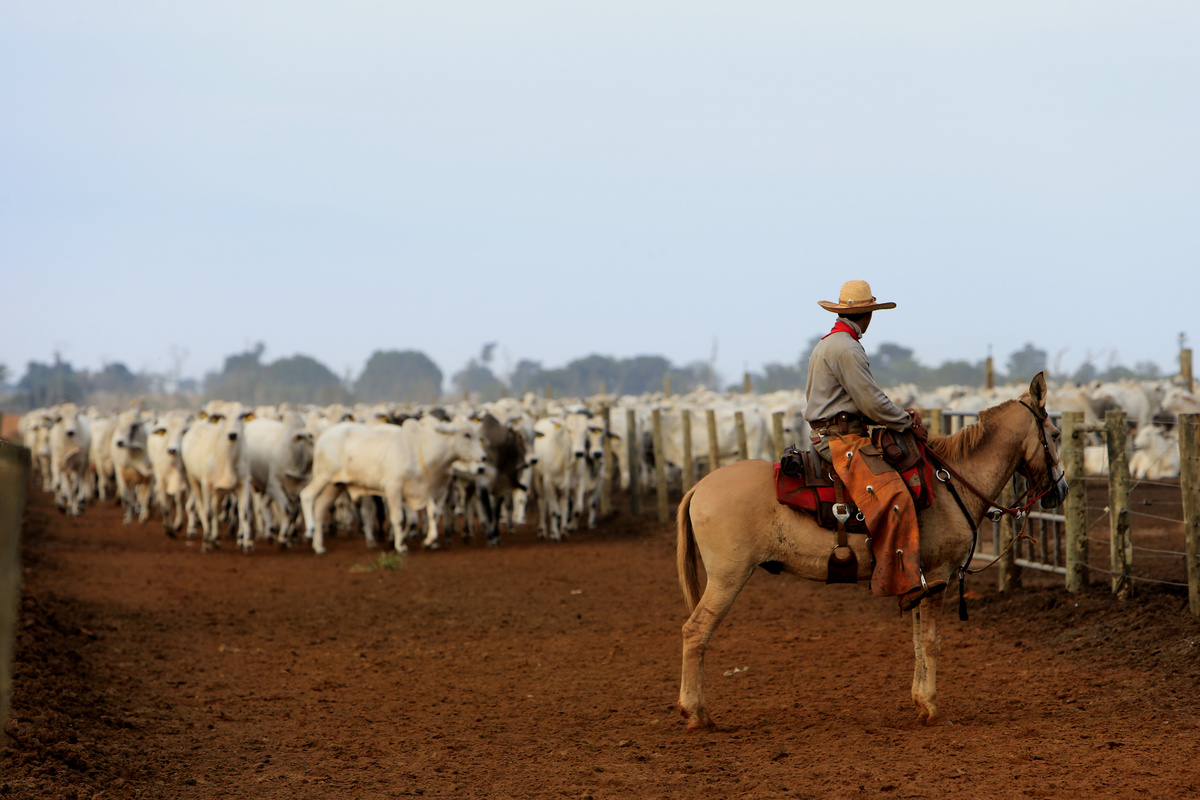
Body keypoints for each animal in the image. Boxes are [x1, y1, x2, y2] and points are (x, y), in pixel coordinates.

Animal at [176, 400, 252, 551]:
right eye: (222, 416)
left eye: (241, 416)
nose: (233, 435)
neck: (227, 458)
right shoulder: (206, 483)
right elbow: (208, 513)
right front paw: (206, 542)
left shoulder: (243, 484)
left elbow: (244, 514)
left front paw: (247, 543)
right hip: (194, 481)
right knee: (201, 508)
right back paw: (208, 537)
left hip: (219, 491)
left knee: (217, 509)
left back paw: (216, 538)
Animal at [302, 417, 489, 554]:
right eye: (466, 435)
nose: (484, 458)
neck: (422, 450)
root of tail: (323, 436)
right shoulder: (393, 488)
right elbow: (398, 518)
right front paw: (400, 546)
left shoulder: (427, 492)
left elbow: (432, 515)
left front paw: (429, 541)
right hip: (322, 477)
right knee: (307, 496)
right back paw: (310, 530)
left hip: (335, 485)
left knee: (320, 508)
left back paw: (319, 546)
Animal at [676, 371, 1070, 729]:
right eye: (1055, 434)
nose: (1062, 490)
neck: (951, 482)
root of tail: (699, 486)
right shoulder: (939, 576)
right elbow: (931, 641)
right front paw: (932, 708)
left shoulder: (919, 581)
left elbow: (917, 641)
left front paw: (920, 703)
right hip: (728, 578)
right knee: (695, 632)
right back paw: (697, 714)